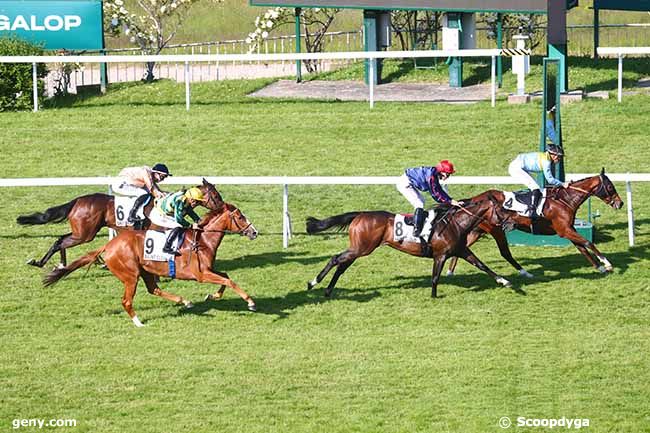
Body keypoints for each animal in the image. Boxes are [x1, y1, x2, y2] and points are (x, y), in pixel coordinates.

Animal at [16, 176, 223, 266]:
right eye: (215, 195)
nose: (223, 207)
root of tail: (77, 201)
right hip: (85, 234)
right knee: (60, 241)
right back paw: (41, 263)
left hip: (81, 231)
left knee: (61, 239)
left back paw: (58, 264)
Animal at [41, 201, 260, 326]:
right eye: (240, 217)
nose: (254, 232)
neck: (203, 240)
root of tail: (108, 246)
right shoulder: (201, 274)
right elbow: (229, 281)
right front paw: (250, 302)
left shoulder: (209, 270)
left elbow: (226, 277)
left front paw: (212, 296)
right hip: (131, 276)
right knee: (127, 301)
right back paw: (138, 322)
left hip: (145, 270)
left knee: (153, 289)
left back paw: (184, 301)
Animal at [304, 195, 516, 298]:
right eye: (503, 209)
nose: (511, 224)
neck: (456, 224)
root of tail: (360, 214)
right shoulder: (440, 255)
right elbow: (435, 277)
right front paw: (434, 296)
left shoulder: (462, 250)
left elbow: (482, 265)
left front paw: (505, 281)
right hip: (362, 248)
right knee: (335, 259)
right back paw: (313, 283)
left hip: (359, 249)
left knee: (341, 266)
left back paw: (328, 291)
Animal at [446, 167, 624, 276]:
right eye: (610, 187)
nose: (620, 203)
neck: (564, 200)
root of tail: (474, 199)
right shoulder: (564, 230)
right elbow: (588, 243)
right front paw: (607, 264)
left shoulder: (568, 229)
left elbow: (583, 248)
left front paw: (599, 268)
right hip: (495, 229)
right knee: (503, 252)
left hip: (478, 230)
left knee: (463, 247)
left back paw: (450, 271)